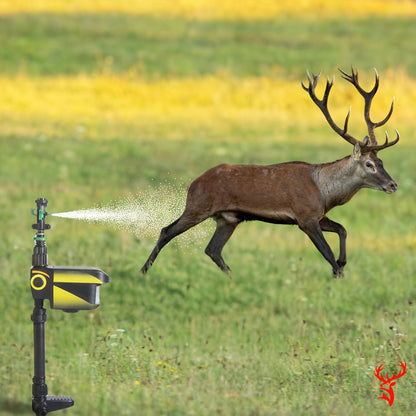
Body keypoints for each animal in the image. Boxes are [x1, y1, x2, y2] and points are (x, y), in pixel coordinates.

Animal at [141, 67, 400, 276]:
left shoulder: (318, 215)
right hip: (198, 206)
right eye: (369, 164)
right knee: (166, 231)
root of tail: (192, 183)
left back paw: (232, 277)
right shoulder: (305, 216)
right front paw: (338, 272)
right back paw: (144, 271)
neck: (325, 192)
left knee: (212, 249)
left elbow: (343, 229)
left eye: (382, 161)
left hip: (228, 218)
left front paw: (343, 262)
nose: (393, 184)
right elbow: (327, 254)